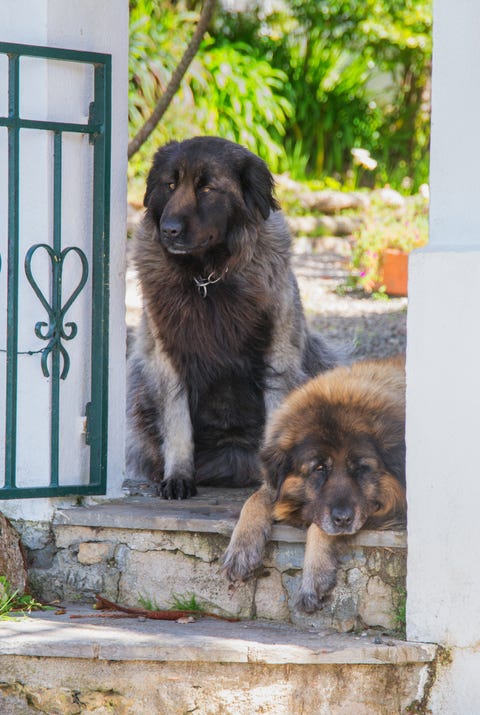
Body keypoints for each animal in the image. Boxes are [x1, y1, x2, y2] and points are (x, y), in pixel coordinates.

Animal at [125, 137, 340, 500]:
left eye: (207, 188)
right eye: (170, 184)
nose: (169, 230)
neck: (207, 278)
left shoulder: (277, 358)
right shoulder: (168, 359)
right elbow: (178, 425)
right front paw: (178, 477)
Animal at [223, 360, 406, 612]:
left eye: (361, 468)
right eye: (319, 468)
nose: (343, 519)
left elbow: (319, 527)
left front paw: (314, 576)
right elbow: (255, 499)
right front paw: (241, 548)